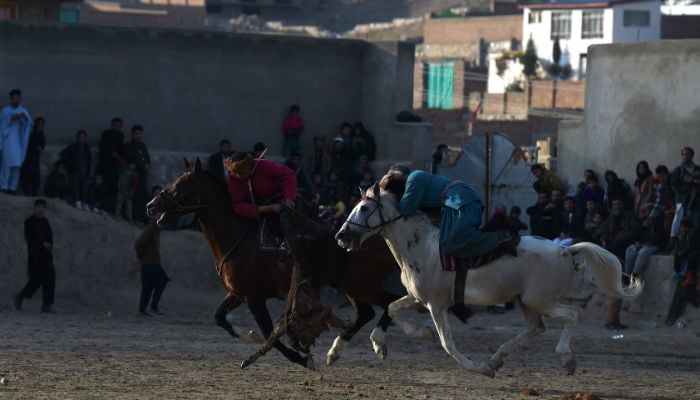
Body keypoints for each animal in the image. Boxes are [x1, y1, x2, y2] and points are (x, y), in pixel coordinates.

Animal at [146, 159, 404, 368]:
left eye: (181, 184)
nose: (150, 205)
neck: (241, 237)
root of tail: (383, 237)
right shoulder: (238, 294)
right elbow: (219, 316)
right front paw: (248, 336)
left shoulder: (254, 298)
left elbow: (270, 333)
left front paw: (301, 358)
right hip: (351, 286)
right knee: (366, 313)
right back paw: (336, 351)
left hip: (362, 286)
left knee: (389, 303)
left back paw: (377, 342)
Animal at [336, 183, 644, 376]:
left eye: (364, 209)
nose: (341, 236)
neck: (421, 245)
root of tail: (566, 250)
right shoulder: (418, 298)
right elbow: (392, 308)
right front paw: (382, 344)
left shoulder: (436, 305)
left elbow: (447, 343)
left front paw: (478, 368)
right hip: (525, 302)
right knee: (537, 328)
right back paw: (497, 359)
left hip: (539, 300)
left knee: (571, 315)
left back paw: (566, 359)